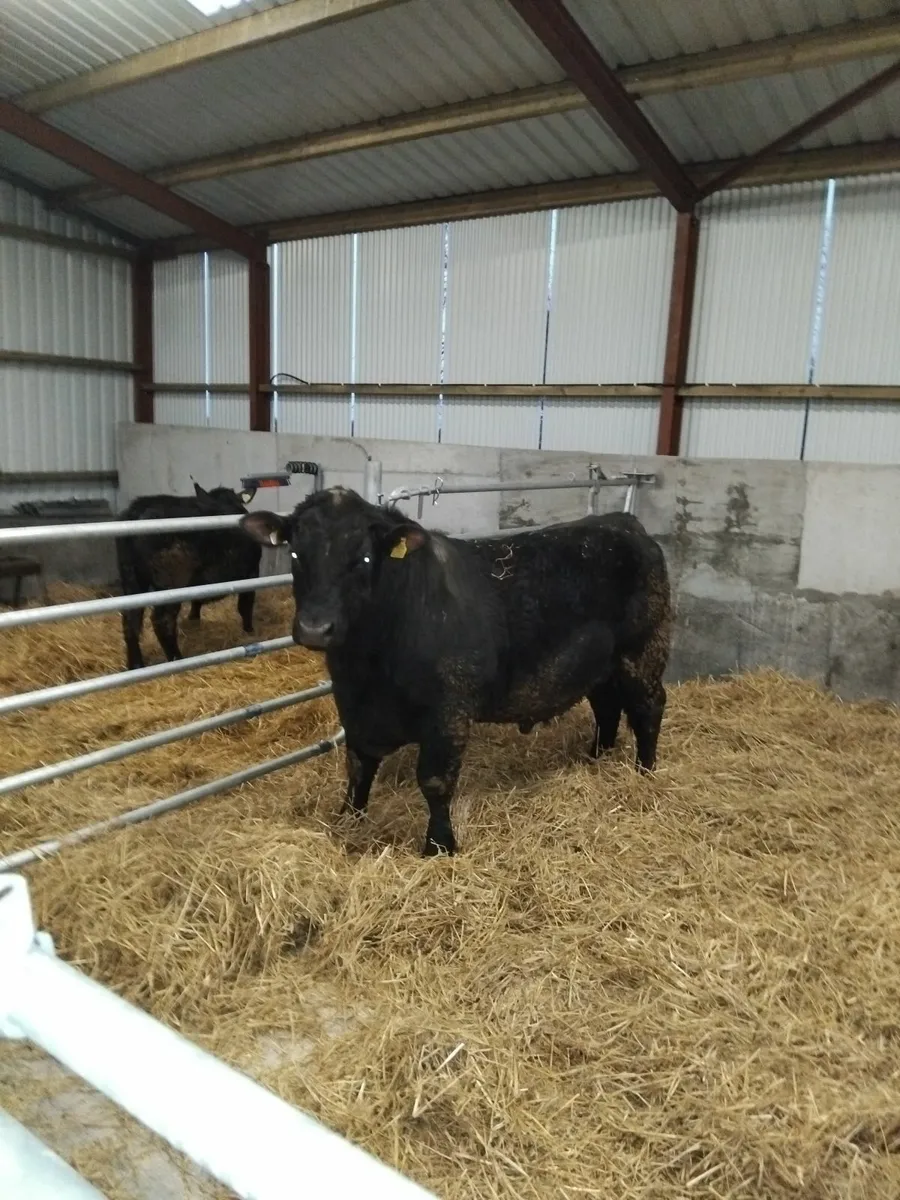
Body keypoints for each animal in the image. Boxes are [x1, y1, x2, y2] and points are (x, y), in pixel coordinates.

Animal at [117, 482, 262, 670]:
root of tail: (138, 510)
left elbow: (197, 599)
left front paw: (194, 618)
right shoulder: (252, 572)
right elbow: (246, 605)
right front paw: (249, 630)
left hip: (131, 578)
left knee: (131, 618)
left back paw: (135, 664)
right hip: (171, 582)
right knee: (162, 620)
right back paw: (176, 659)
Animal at [240, 487, 671, 857]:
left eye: (363, 559)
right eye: (296, 555)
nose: (316, 627)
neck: (368, 666)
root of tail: (623, 522)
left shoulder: (448, 713)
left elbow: (435, 781)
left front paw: (439, 846)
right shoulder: (354, 709)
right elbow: (358, 769)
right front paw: (348, 819)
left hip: (643, 651)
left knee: (648, 708)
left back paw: (644, 771)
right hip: (601, 665)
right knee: (607, 708)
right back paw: (597, 758)